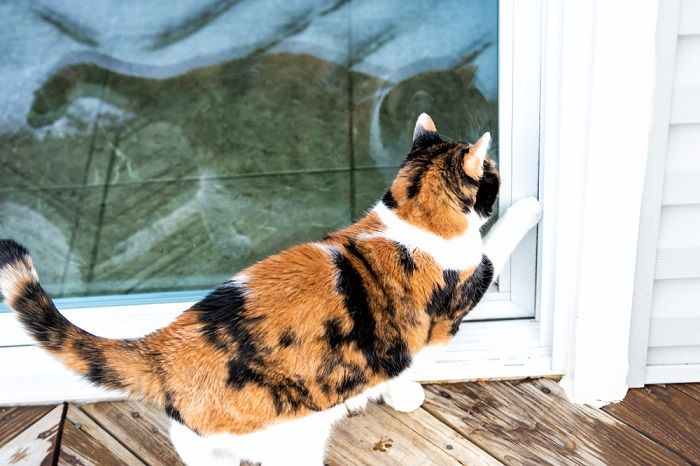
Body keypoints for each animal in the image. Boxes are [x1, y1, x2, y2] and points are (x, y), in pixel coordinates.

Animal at [0, 114, 540, 466]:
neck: (409, 217)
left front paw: (399, 391)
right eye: (492, 174)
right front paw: (529, 206)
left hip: (199, 444)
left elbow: (397, 365)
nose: (501, 175)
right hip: (291, 440)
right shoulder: (464, 288)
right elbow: (495, 245)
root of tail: (163, 349)